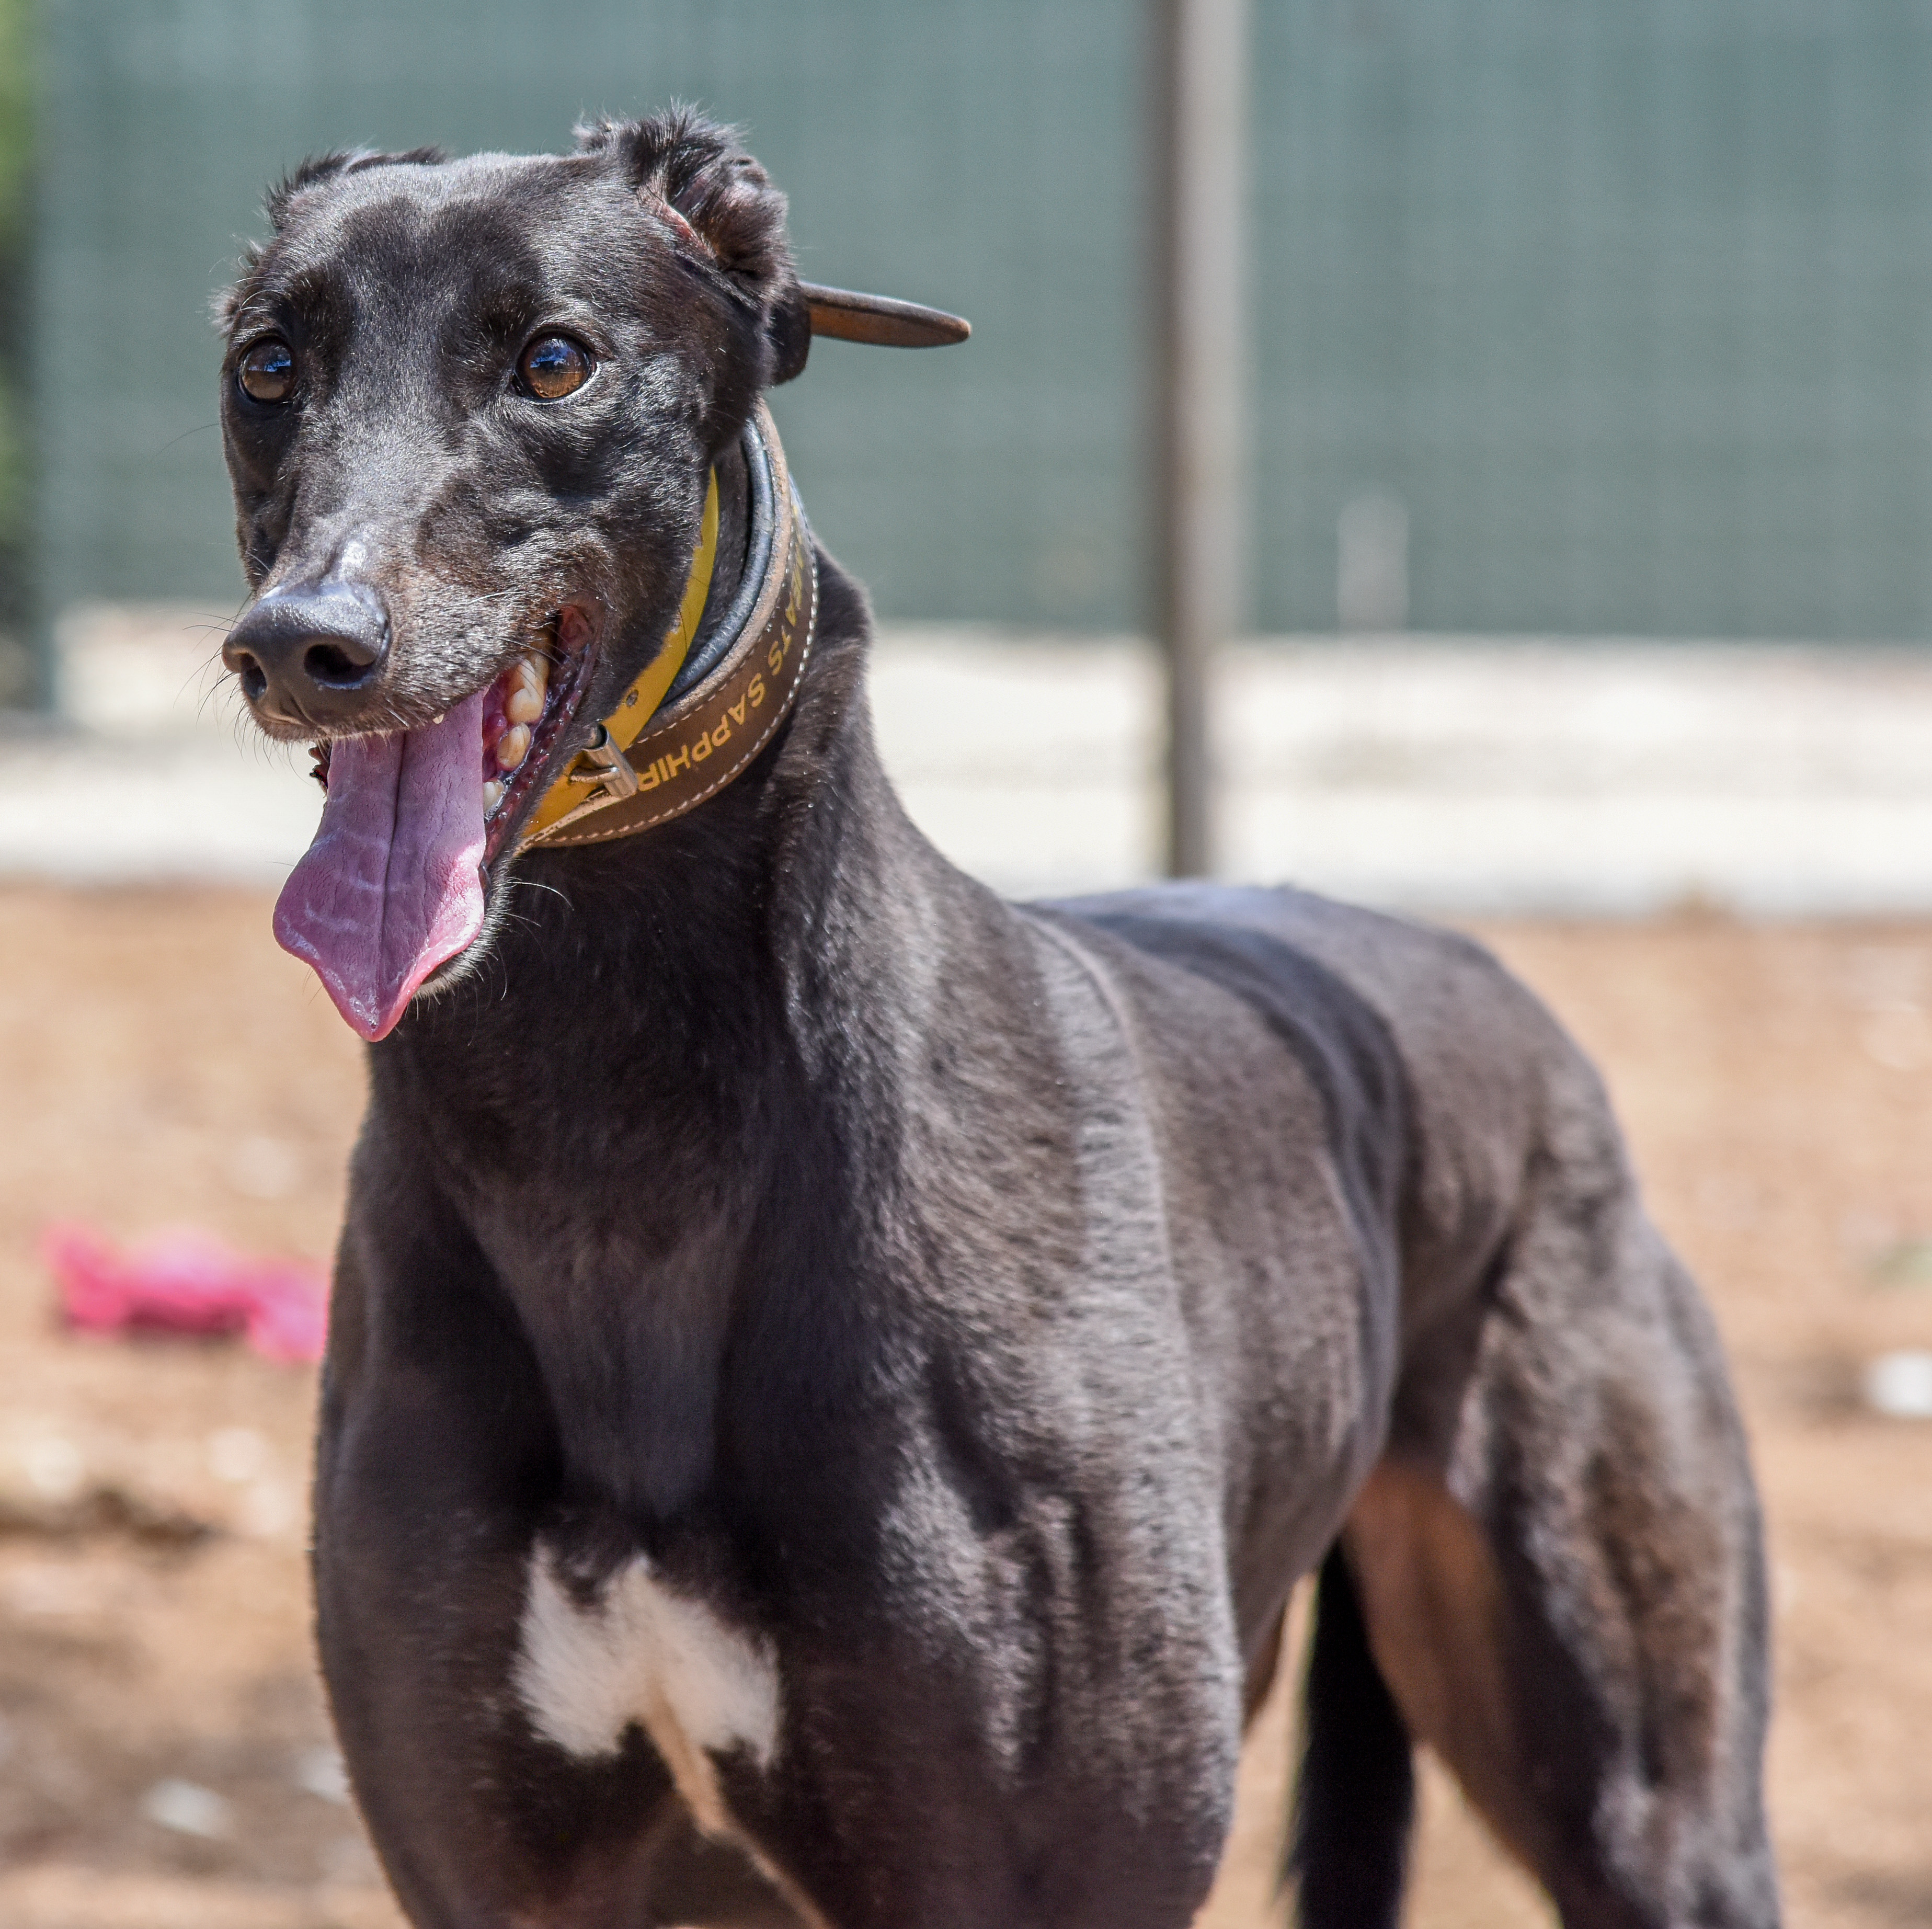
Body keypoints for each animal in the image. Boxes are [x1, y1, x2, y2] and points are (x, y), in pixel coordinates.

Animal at [216, 111, 1780, 1928]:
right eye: (267, 363)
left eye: (553, 357)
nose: (302, 646)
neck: (610, 1139)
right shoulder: (499, 1870)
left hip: (1646, 1793)